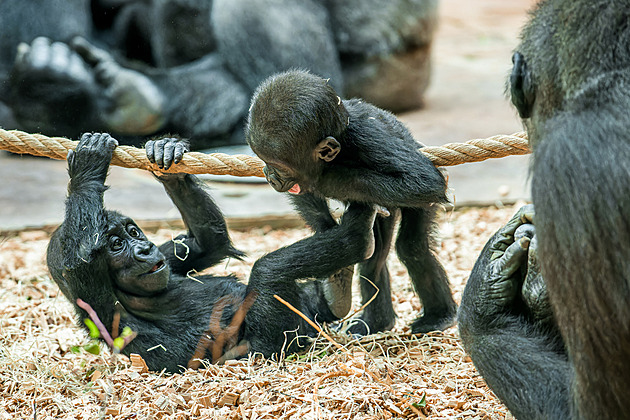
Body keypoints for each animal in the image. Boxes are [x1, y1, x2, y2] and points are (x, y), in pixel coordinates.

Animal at [48, 133, 380, 372]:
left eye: (132, 232)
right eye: (116, 245)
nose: (143, 249)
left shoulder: (169, 255)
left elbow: (207, 242)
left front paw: (166, 156)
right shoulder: (96, 301)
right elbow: (79, 257)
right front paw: (85, 173)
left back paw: (336, 288)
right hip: (276, 347)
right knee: (269, 273)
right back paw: (356, 238)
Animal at [244, 70, 456, 336]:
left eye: (279, 167)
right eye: (264, 160)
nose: (270, 176)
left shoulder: (369, 139)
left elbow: (423, 180)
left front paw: (332, 179)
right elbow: (307, 197)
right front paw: (328, 232)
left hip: (421, 200)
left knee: (413, 246)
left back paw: (439, 316)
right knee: (375, 257)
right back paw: (376, 321)